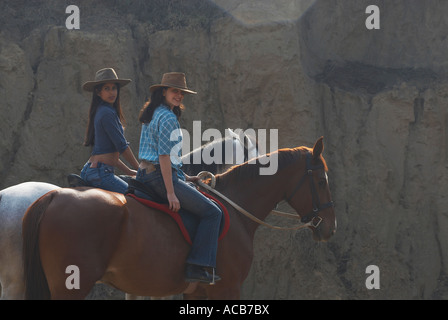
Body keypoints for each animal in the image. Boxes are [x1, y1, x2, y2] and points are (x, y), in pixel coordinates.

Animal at [21, 136, 336, 298]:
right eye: (322, 180)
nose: (331, 227)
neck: (233, 207)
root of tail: (53, 196)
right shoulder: (228, 288)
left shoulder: (195, 292)